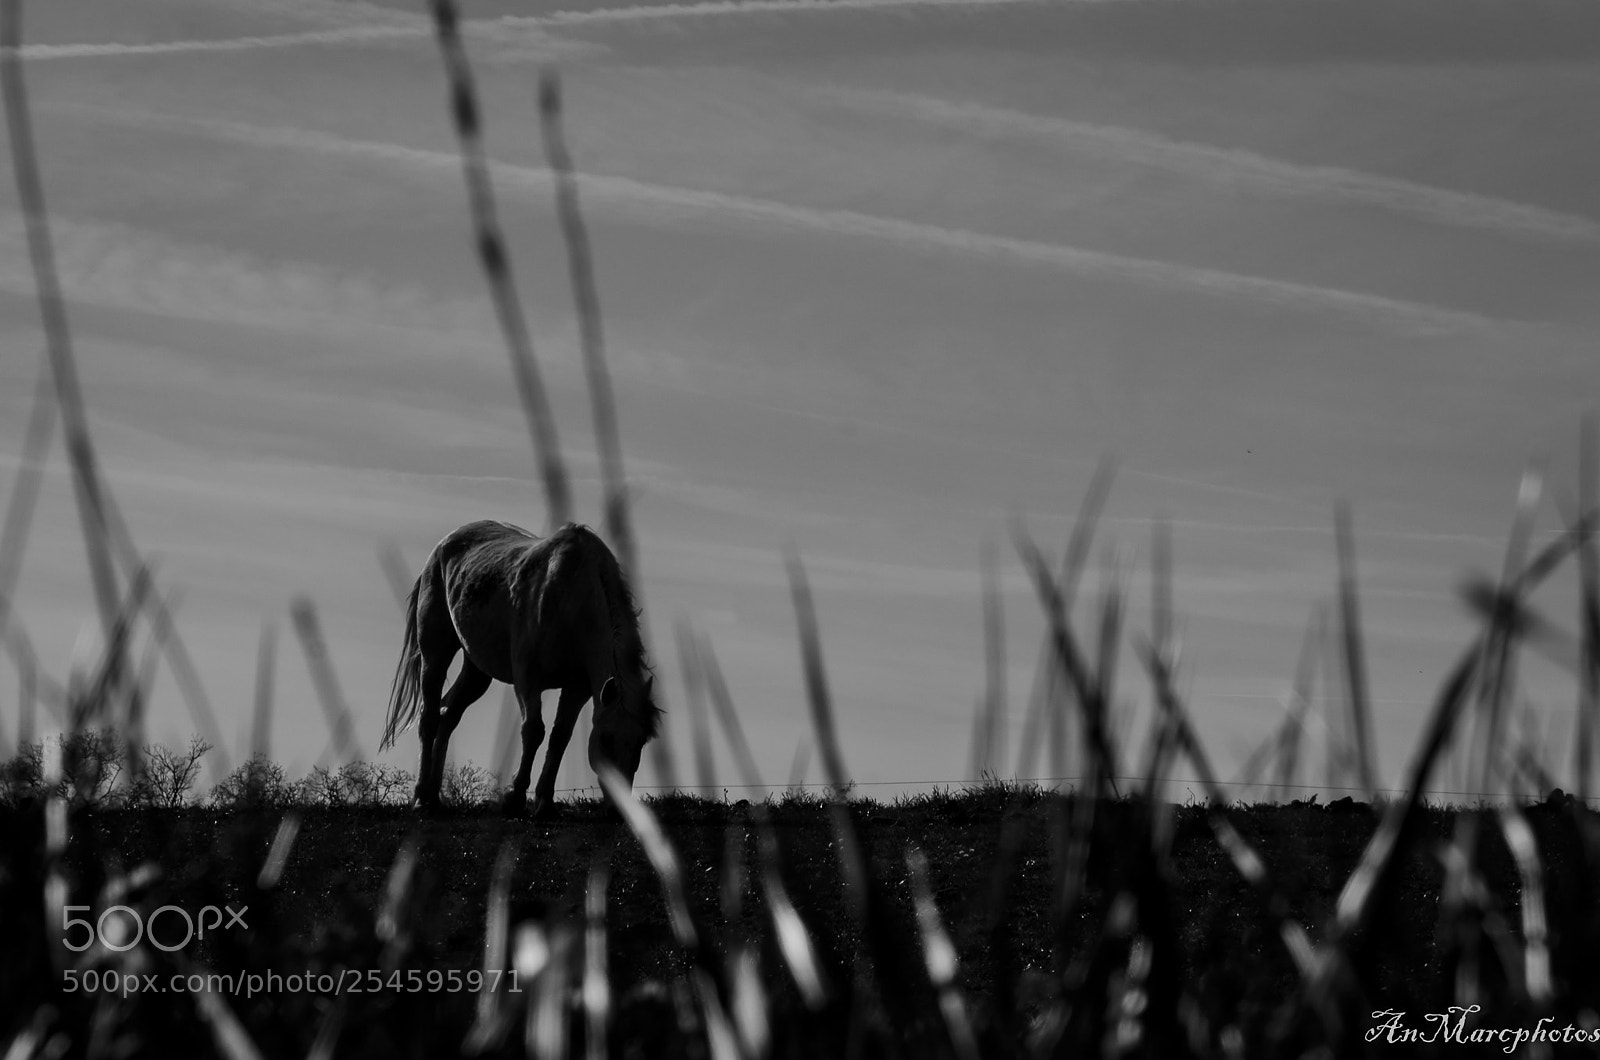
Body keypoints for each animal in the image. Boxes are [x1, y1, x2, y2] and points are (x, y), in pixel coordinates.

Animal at [379, 520, 661, 816]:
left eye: (641, 741)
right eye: (605, 739)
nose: (620, 808)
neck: (572, 600)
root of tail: (442, 547)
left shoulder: (577, 688)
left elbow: (560, 737)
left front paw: (544, 802)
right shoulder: (528, 680)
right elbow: (534, 731)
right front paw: (514, 797)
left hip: (476, 672)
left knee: (449, 717)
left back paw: (434, 795)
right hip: (435, 656)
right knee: (430, 718)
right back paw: (422, 797)